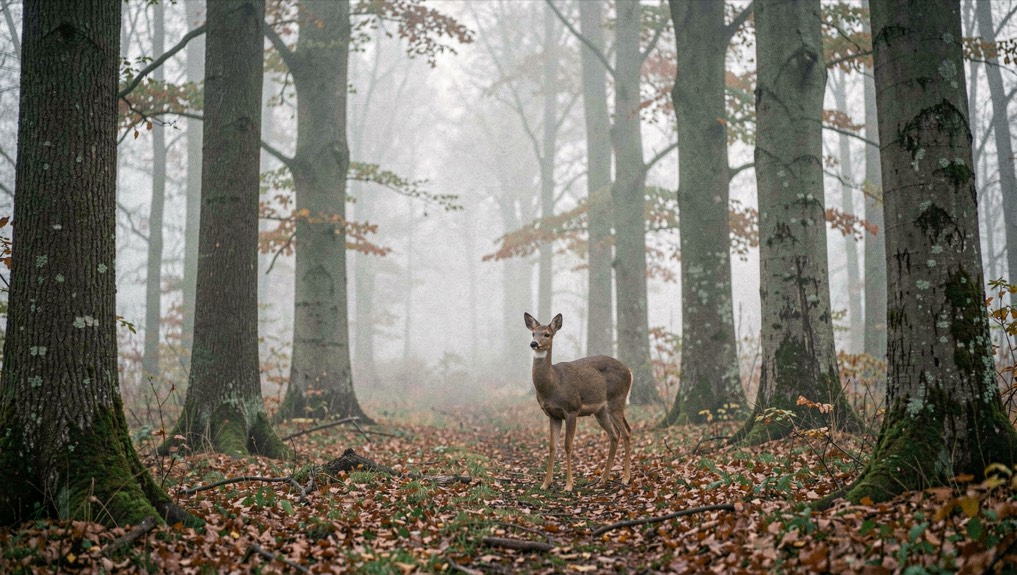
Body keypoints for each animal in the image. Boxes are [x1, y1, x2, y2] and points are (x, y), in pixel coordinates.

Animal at [524, 312, 632, 492]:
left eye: (547, 334)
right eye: (533, 333)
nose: (534, 343)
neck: (554, 383)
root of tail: (629, 371)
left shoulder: (571, 409)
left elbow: (568, 445)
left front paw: (568, 485)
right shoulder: (553, 414)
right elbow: (552, 446)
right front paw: (545, 484)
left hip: (616, 400)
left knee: (626, 433)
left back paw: (625, 478)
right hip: (600, 411)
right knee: (614, 435)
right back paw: (603, 479)